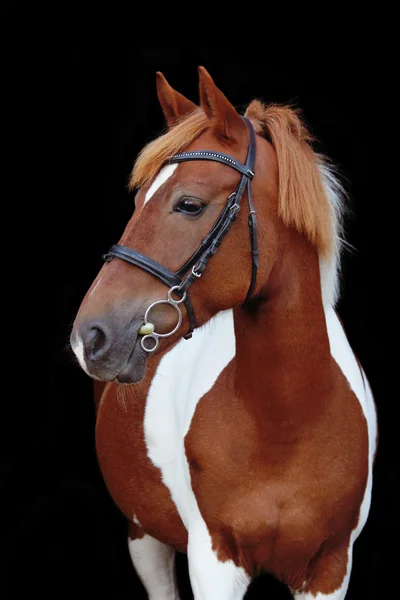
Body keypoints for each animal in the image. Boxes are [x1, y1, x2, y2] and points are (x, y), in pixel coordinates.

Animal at [69, 67, 378, 600]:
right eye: (137, 200)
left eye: (189, 204)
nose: (89, 337)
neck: (286, 426)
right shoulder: (214, 562)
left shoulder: (330, 567)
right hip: (143, 535)